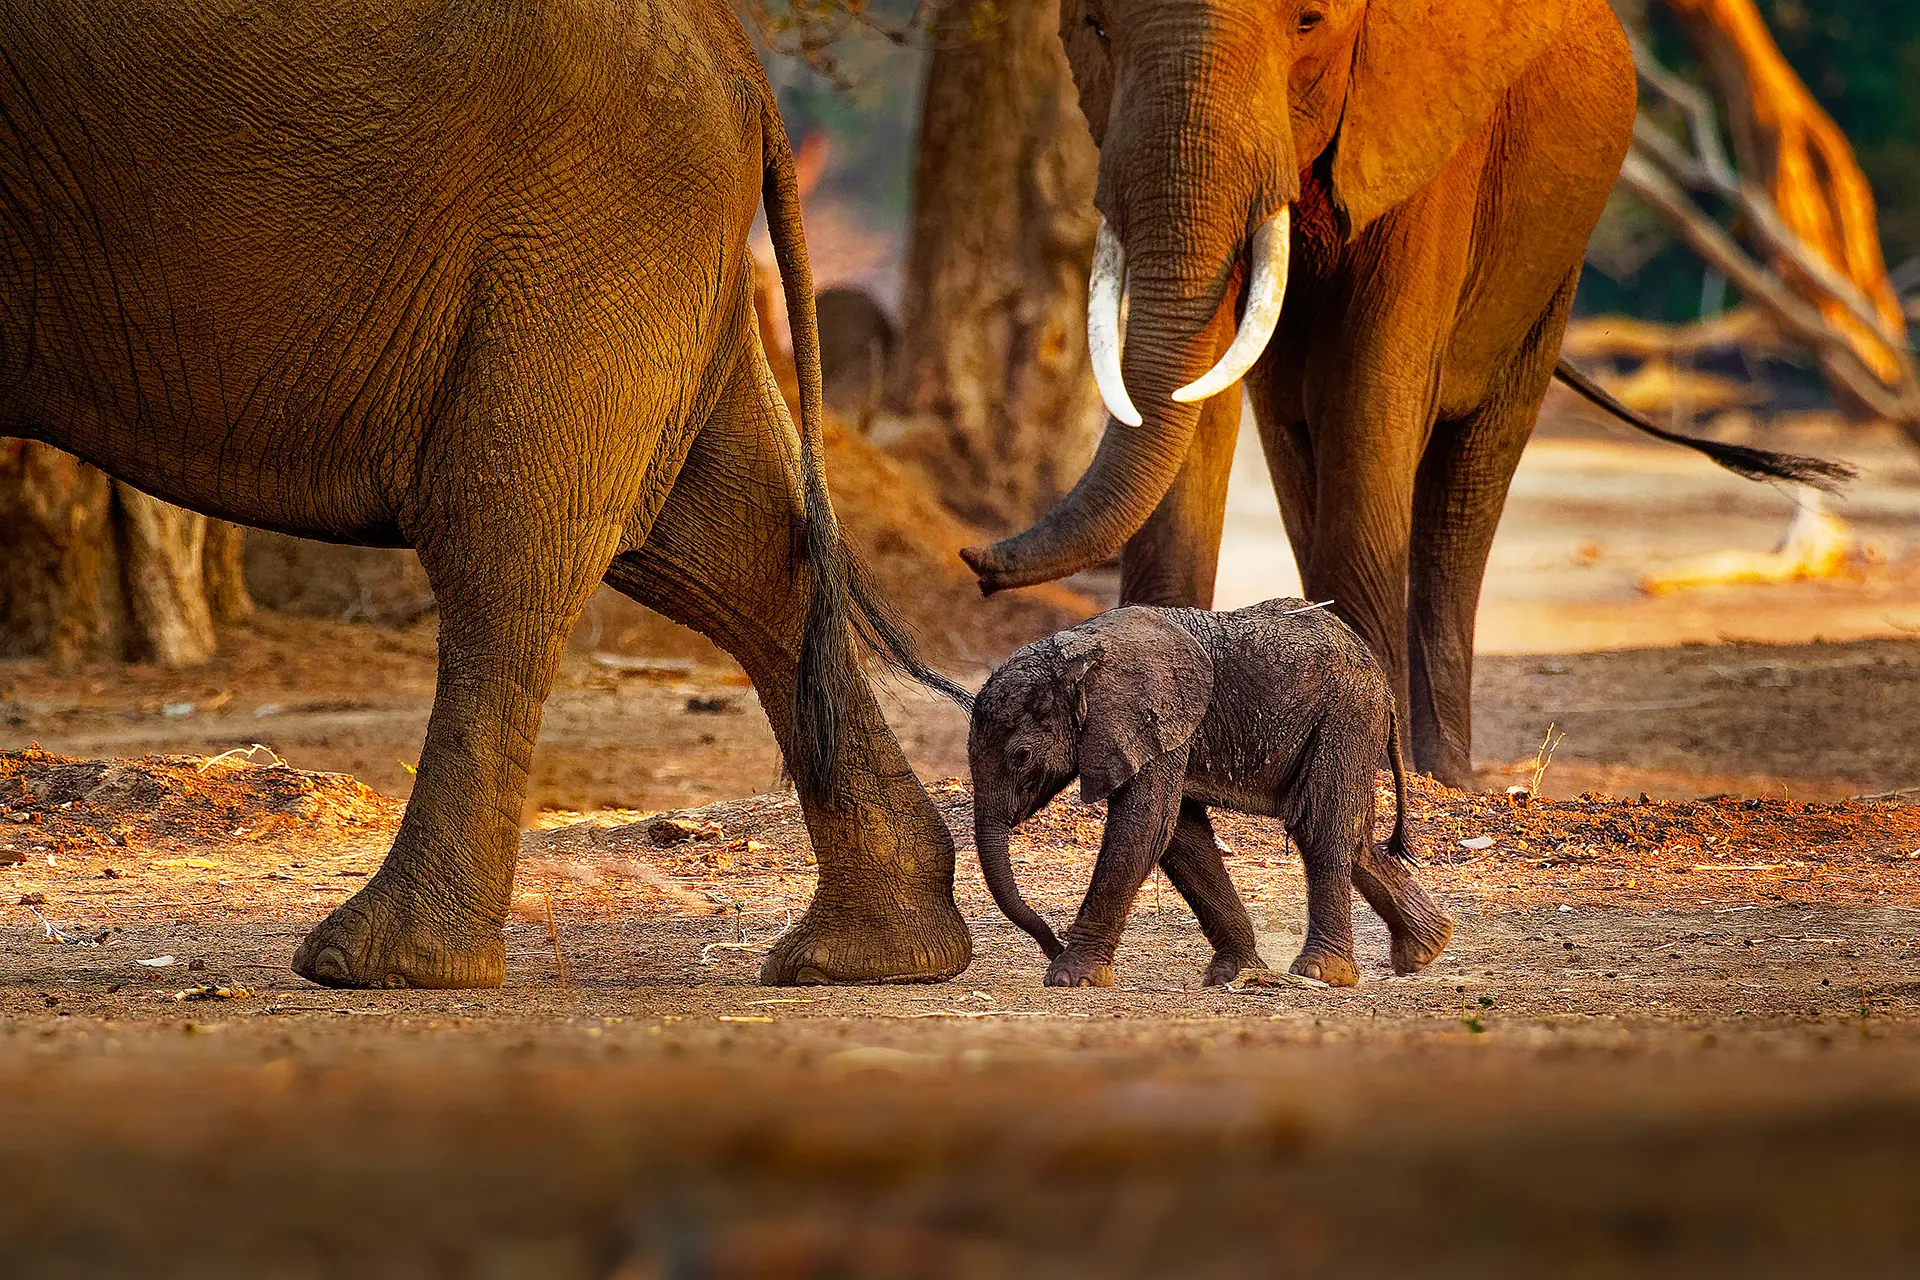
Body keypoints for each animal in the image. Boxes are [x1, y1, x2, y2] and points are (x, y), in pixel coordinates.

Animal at [0, 0, 973, 989]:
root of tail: (738, 56)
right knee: (733, 549)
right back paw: (874, 956)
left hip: (586, 223)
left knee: (509, 541)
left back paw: (380, 963)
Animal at [960, 0, 1847, 790]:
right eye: (1096, 28)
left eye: (1310, 23)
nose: (978, 563)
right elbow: (1206, 386)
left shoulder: (1430, 139)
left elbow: (1368, 384)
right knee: (1296, 437)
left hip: (1552, 264)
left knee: (1467, 476)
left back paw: (1442, 771)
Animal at [969, 600, 1454, 989]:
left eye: (1022, 756)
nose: (1051, 943)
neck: (1080, 652)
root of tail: (1381, 680)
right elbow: (1181, 837)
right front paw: (1234, 974)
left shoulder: (1153, 722)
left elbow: (1144, 830)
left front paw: (1070, 978)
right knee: (1354, 839)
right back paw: (1425, 949)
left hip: (1346, 718)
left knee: (1320, 827)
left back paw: (1323, 973)